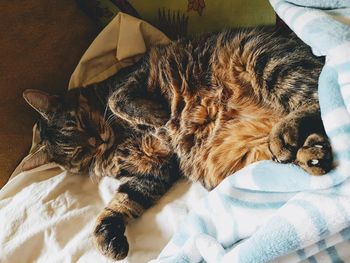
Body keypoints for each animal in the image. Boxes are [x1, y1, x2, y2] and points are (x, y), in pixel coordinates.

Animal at [22, 26, 334, 260]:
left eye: (79, 122)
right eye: (78, 150)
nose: (97, 140)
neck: (115, 142)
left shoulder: (133, 76)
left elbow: (118, 99)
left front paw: (155, 115)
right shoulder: (151, 171)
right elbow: (120, 202)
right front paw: (106, 237)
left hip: (266, 59)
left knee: (316, 95)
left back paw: (287, 134)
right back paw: (311, 154)